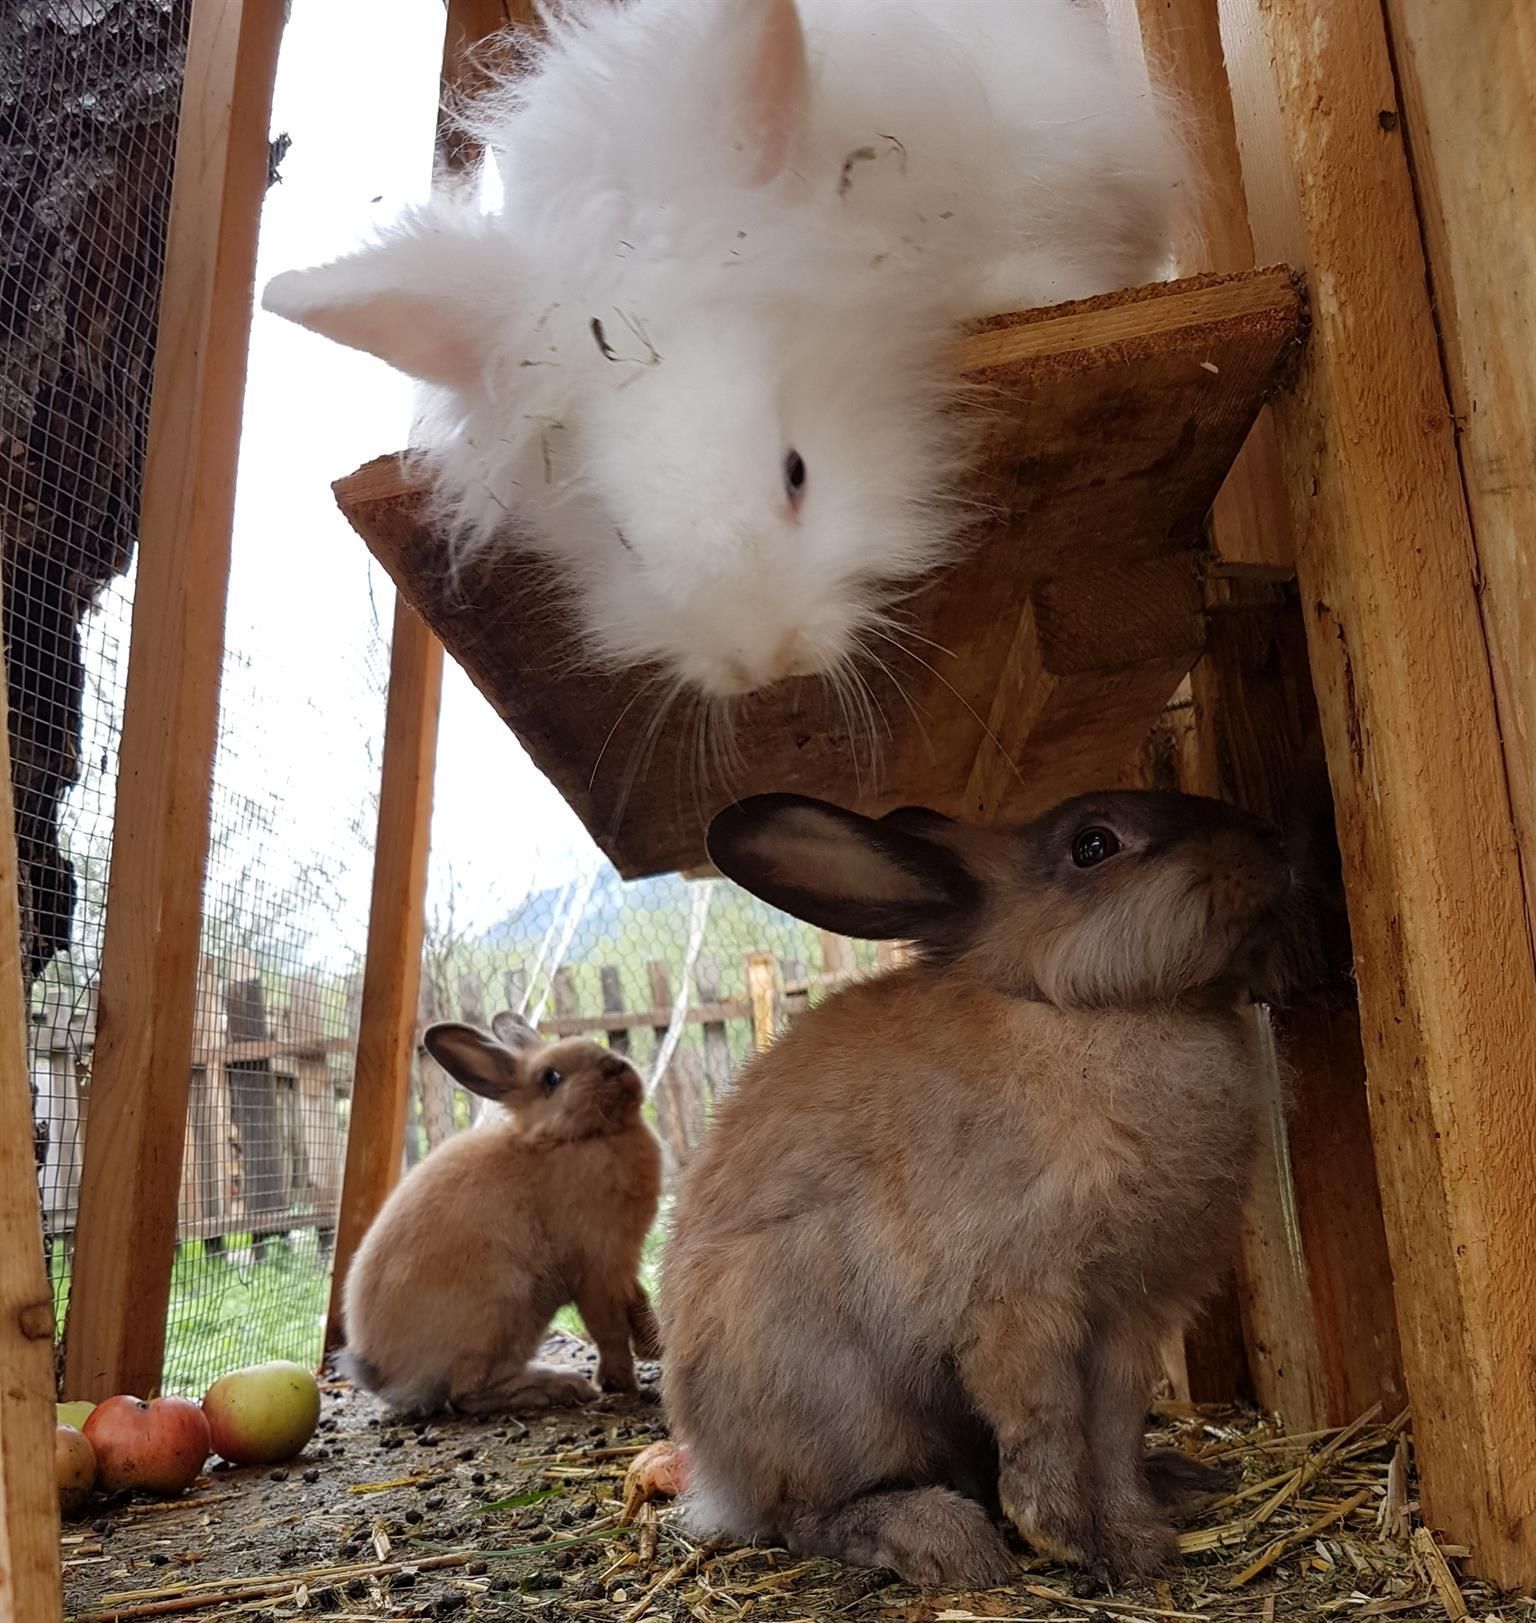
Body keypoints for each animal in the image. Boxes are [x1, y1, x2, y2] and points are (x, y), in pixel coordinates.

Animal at [340, 1011, 663, 1414]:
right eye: (551, 1078)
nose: (615, 1066)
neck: (565, 1141)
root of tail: (382, 1375)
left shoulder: (621, 1265)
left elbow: (638, 1302)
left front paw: (654, 1347)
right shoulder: (595, 1268)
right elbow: (610, 1329)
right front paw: (622, 1383)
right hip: (504, 1309)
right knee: (467, 1393)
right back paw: (561, 1386)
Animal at [660, 789, 1301, 1589]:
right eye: (1093, 845)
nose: (1274, 845)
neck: (1077, 1011)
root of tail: (718, 1476)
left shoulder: (1131, 1319)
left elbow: (1115, 1434)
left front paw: (1136, 1542)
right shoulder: (1017, 1307)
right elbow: (1047, 1420)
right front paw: (1061, 1531)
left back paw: (1175, 1480)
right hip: (835, 1397)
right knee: (809, 1515)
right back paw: (946, 1540)